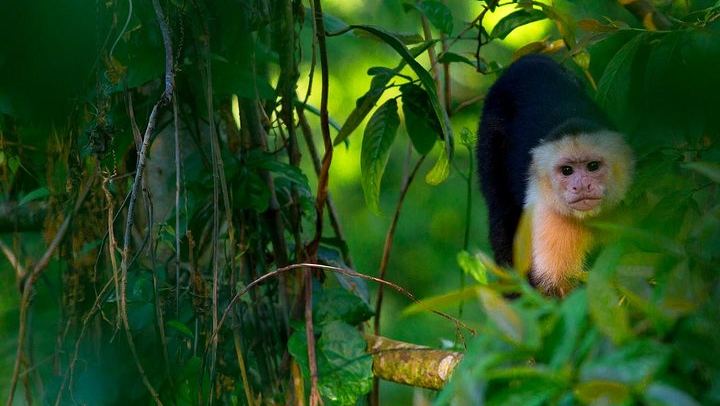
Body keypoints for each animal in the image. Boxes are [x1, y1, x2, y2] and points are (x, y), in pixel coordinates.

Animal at [477, 54, 633, 296]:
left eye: (593, 166)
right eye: (567, 171)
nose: (581, 186)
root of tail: (528, 59)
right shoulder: (548, 211)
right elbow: (554, 287)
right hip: (490, 130)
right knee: (502, 212)